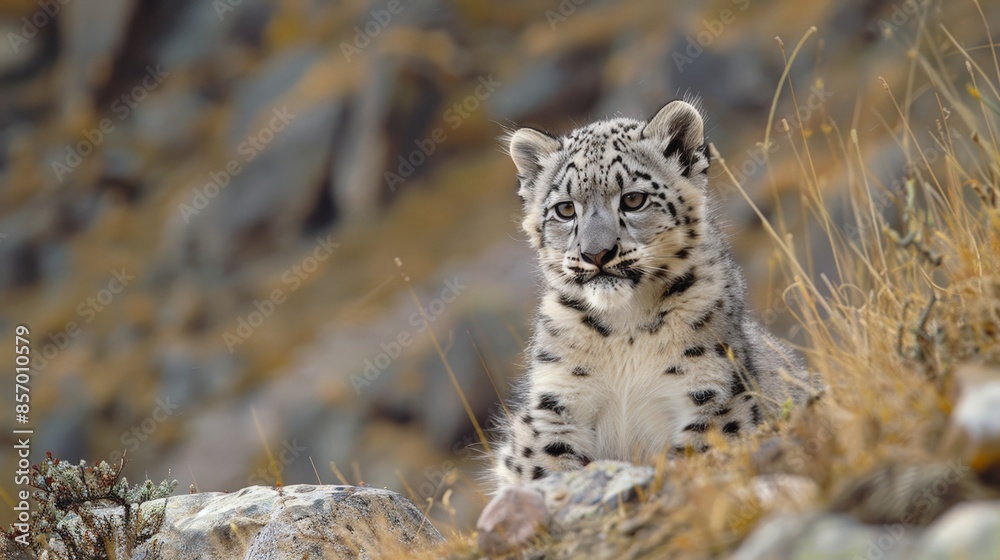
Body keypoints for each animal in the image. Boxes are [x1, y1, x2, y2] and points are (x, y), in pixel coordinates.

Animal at [490, 99, 815, 488]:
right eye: (565, 209)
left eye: (633, 199)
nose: (596, 253)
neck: (625, 326)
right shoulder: (555, 404)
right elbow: (543, 465)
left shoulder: (715, 394)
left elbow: (696, 452)